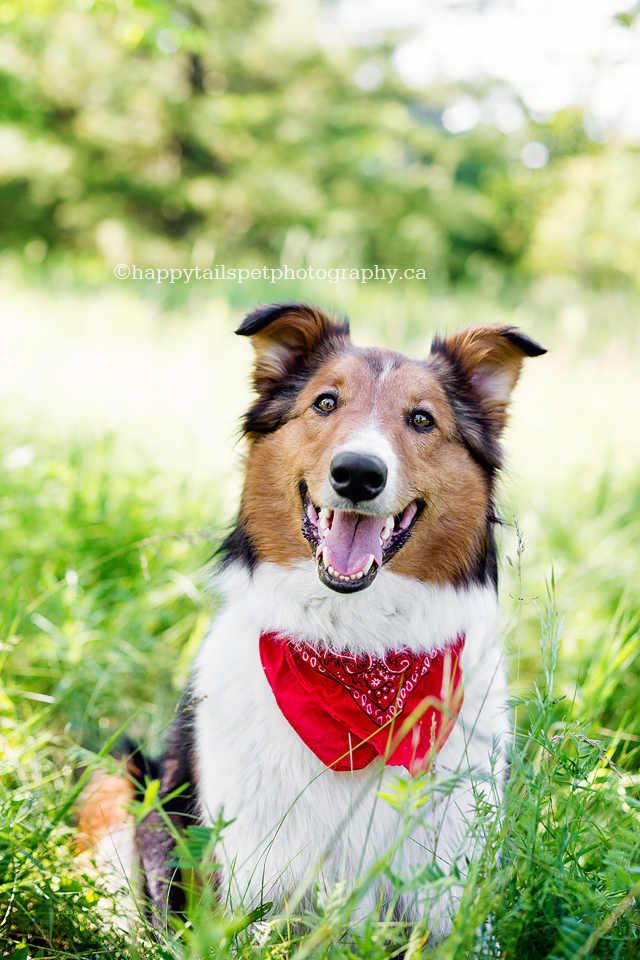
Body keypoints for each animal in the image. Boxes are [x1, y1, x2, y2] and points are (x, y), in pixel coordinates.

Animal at [76, 302, 544, 936]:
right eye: (325, 403)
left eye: (422, 419)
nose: (358, 474)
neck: (357, 647)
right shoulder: (252, 887)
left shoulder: (447, 898)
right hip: (124, 776)